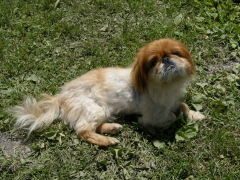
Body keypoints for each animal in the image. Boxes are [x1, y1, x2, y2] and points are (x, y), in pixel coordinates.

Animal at [12, 38, 204, 146]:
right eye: (153, 62)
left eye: (176, 53)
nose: (166, 59)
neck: (167, 86)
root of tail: (61, 96)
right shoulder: (155, 114)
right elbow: (170, 117)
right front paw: (154, 126)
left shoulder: (174, 100)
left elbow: (183, 105)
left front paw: (194, 115)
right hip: (94, 108)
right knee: (83, 131)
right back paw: (107, 140)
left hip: (102, 110)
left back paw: (112, 128)